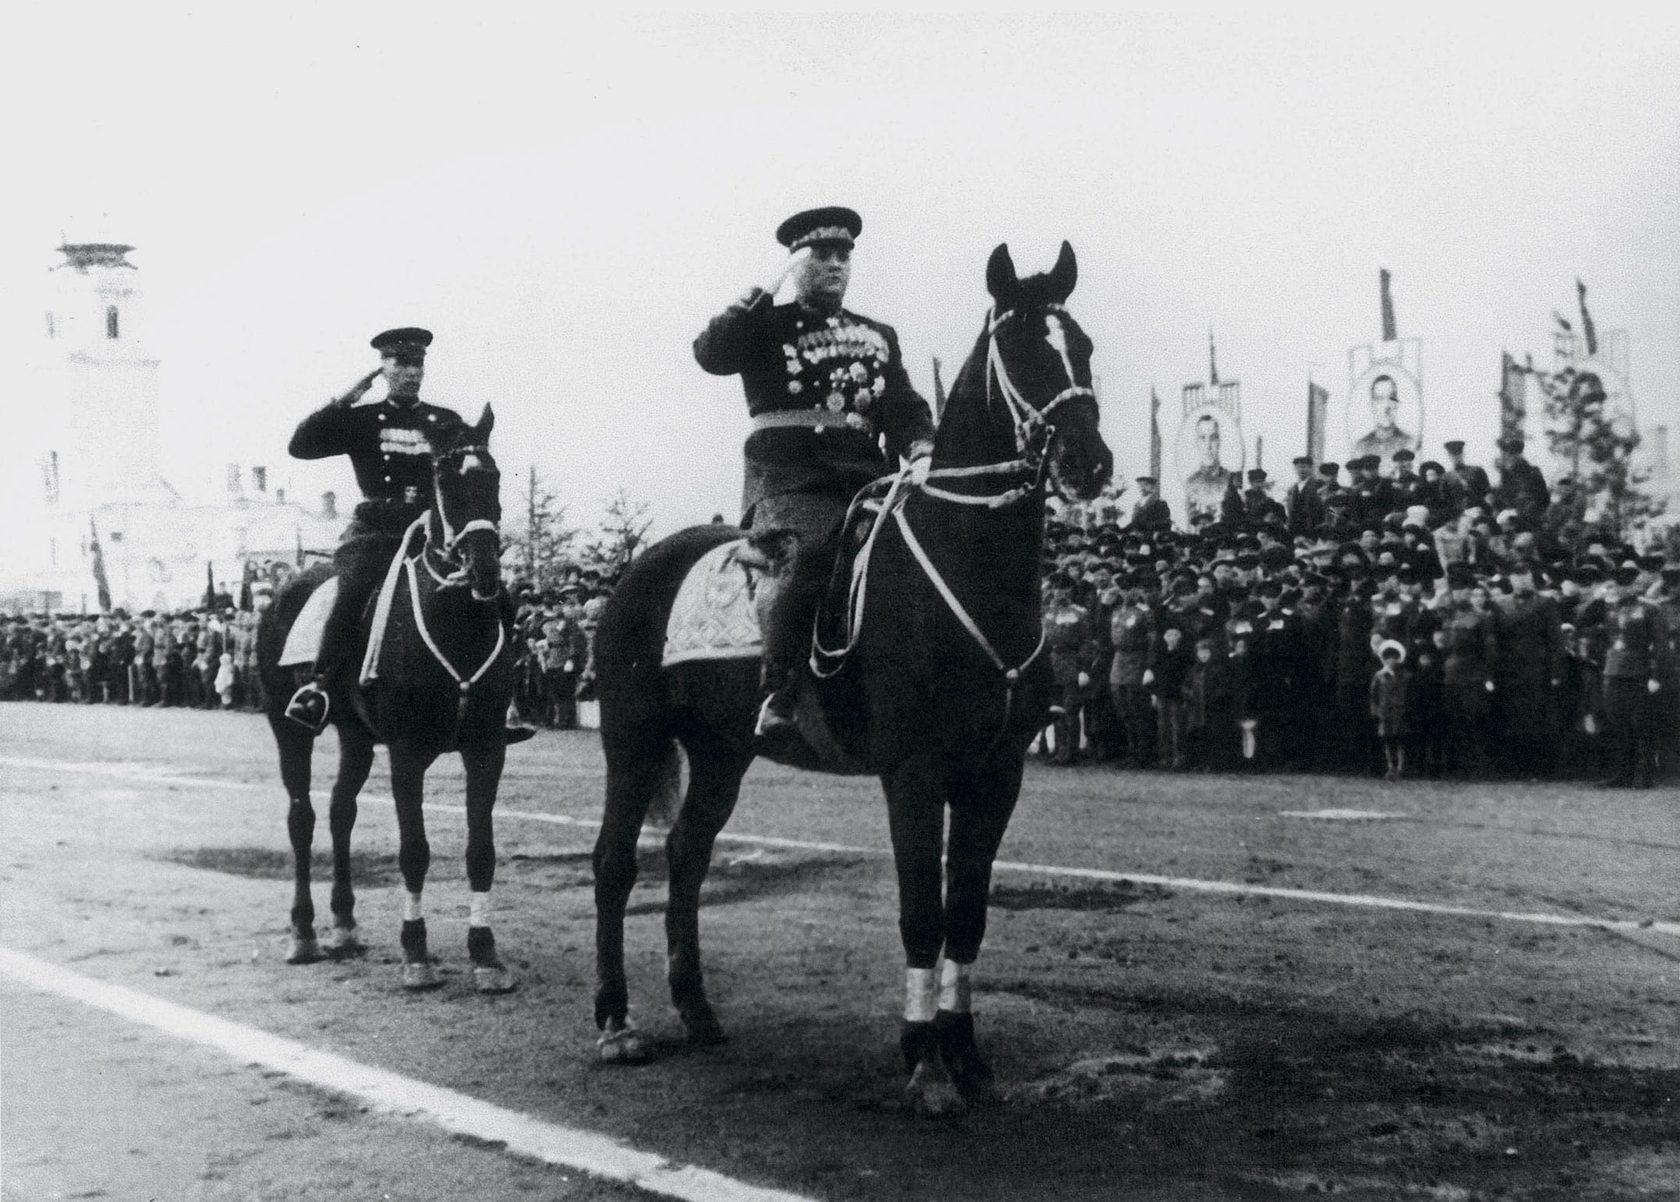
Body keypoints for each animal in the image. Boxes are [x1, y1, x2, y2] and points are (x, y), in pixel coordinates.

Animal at [253, 408, 517, 995]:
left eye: (493, 478)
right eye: (445, 479)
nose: (485, 572)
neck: (455, 623)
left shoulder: (486, 748)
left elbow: (482, 852)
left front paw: (485, 953)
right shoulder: (406, 753)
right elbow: (414, 852)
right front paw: (415, 953)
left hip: (355, 736)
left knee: (340, 812)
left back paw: (344, 925)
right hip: (288, 729)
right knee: (302, 816)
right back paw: (303, 933)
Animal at [594, 247, 1115, 1116]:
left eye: (1083, 344)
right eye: (1021, 348)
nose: (1090, 462)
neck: (969, 568)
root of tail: (640, 566)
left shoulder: (996, 772)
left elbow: (966, 913)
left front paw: (966, 1056)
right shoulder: (915, 771)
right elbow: (921, 914)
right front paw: (926, 1066)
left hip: (722, 752)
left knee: (689, 856)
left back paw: (697, 1011)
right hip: (632, 740)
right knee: (614, 863)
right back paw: (615, 1025)